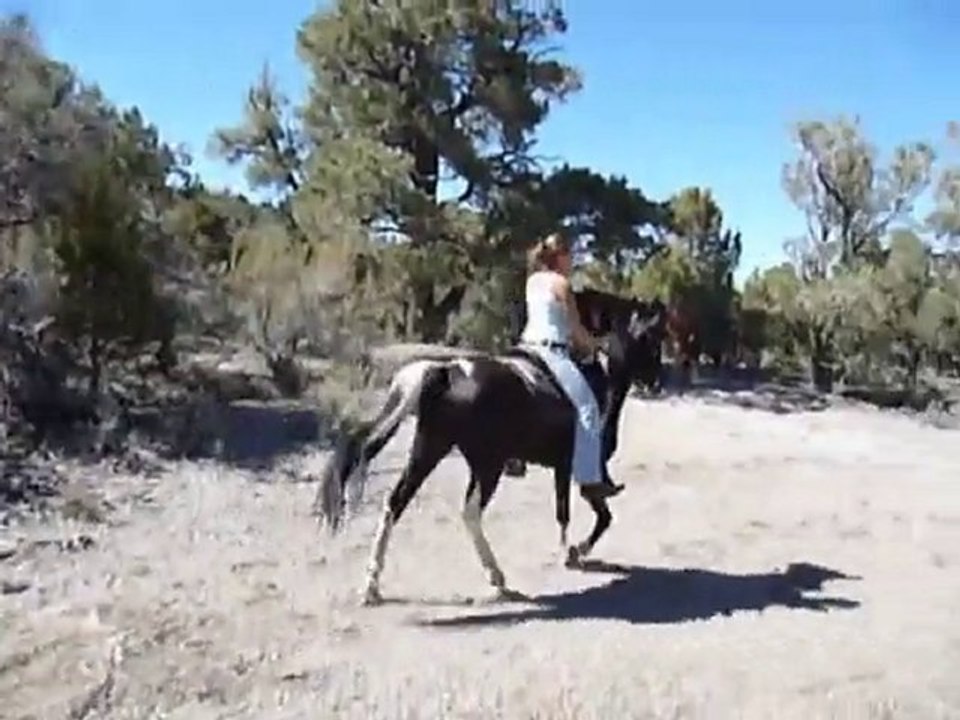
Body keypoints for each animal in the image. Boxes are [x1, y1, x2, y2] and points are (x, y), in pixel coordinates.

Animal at [315, 288, 668, 606]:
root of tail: (446, 372)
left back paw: (372, 585)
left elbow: (572, 512)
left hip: (431, 447)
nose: (656, 382)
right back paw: (497, 579)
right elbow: (591, 515)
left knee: (395, 503)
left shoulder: (562, 468)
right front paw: (573, 552)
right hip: (486, 464)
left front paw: (570, 551)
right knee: (469, 513)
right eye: (652, 337)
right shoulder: (578, 469)